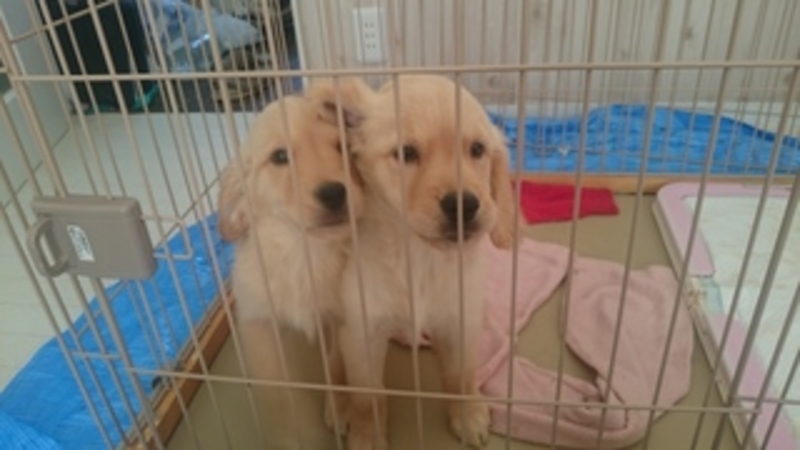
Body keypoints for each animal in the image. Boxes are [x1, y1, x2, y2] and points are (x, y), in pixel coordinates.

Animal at [216, 94, 363, 442]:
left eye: (341, 147)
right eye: (280, 156)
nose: (334, 193)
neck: (304, 253)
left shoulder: (341, 320)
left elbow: (335, 364)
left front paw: (339, 408)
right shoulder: (258, 324)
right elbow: (279, 393)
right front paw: (291, 434)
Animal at [309, 75, 519, 449]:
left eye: (477, 150)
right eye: (406, 153)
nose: (464, 205)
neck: (419, 257)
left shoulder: (460, 320)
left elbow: (460, 376)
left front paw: (469, 415)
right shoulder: (361, 332)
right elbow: (367, 397)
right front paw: (367, 435)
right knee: (333, 359)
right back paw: (337, 405)